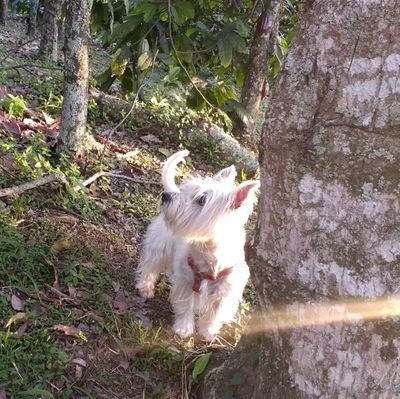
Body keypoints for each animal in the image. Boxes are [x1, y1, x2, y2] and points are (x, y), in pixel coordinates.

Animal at [134, 150, 260, 340]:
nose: (166, 196)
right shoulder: (187, 281)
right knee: (150, 265)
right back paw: (145, 288)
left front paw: (208, 331)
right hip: (159, 245)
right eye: (185, 189)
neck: (209, 252)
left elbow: (215, 313)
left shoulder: (225, 290)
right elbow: (185, 305)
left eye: (201, 199)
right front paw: (184, 328)